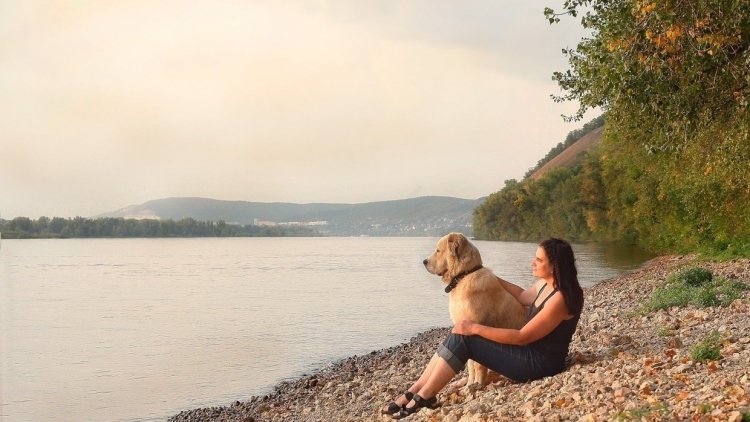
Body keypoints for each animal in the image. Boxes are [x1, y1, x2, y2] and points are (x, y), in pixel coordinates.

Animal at [424, 232, 528, 388]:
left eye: (438, 250)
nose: (424, 261)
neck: (464, 275)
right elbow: (470, 364)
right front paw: (470, 383)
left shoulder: (474, 328)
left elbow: (477, 365)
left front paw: (478, 383)